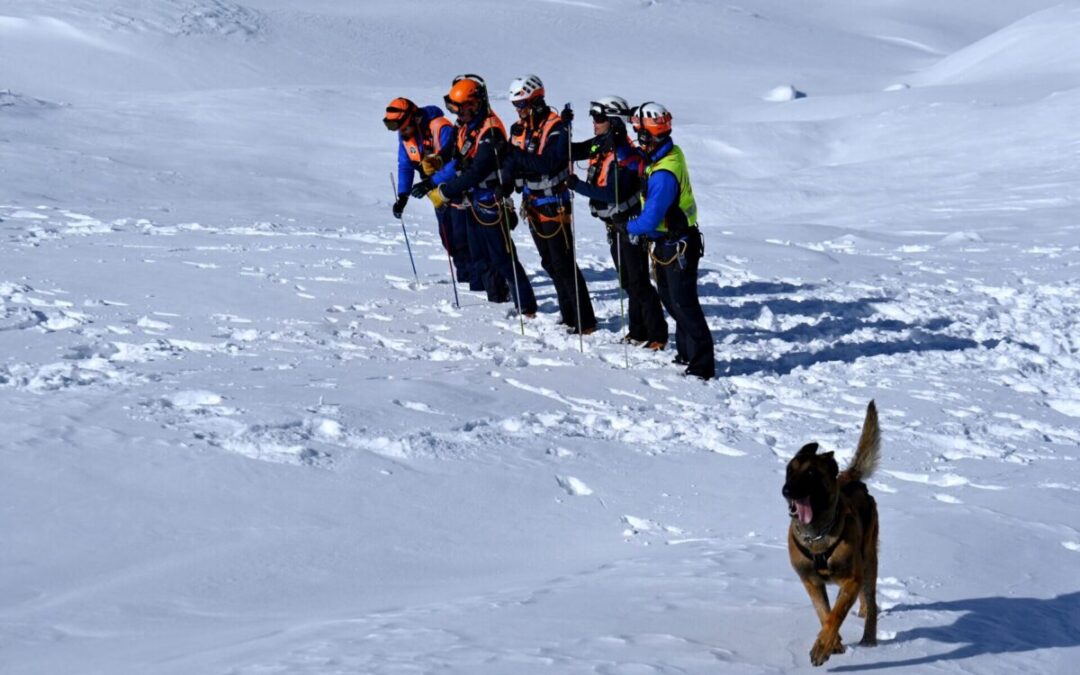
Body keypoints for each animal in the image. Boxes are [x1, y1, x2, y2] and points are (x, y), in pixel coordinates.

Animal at [781, 397, 881, 665]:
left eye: (811, 473)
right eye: (789, 470)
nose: (786, 490)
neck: (817, 535)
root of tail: (849, 477)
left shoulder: (851, 579)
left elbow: (836, 615)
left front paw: (822, 647)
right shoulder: (811, 582)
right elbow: (825, 613)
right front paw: (833, 644)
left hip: (869, 560)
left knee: (872, 601)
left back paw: (869, 639)